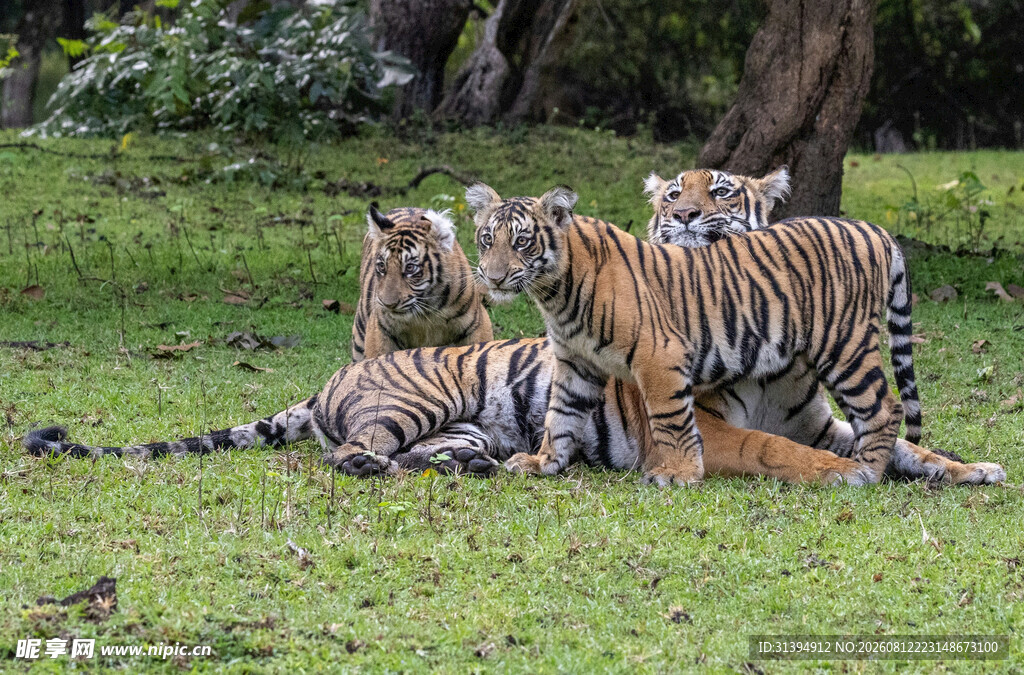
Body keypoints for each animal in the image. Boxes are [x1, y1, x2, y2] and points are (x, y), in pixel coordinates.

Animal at [350, 205, 492, 362]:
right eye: (382, 266)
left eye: (410, 268)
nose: (388, 305)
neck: (427, 312)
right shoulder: (380, 331)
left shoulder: (477, 326)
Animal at [468, 182, 939, 487]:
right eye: (487, 239)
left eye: (523, 242)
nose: (492, 277)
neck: (553, 293)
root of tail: (872, 228)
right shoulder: (575, 364)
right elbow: (560, 417)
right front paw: (544, 463)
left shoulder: (658, 356)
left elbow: (671, 419)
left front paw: (678, 475)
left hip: (845, 345)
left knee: (886, 410)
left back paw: (868, 472)